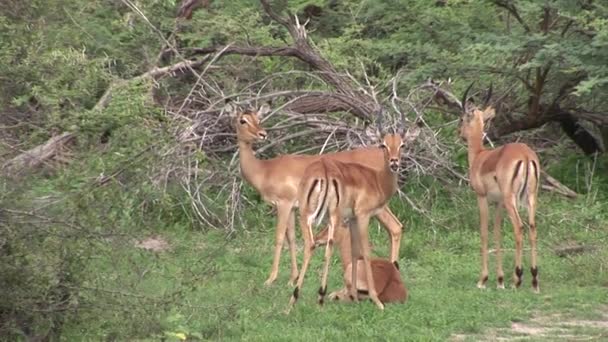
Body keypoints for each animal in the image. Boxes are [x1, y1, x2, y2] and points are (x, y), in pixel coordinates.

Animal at [228, 101, 404, 286]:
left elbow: (279, 237)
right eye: (243, 120)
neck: (265, 170)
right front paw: (293, 278)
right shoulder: (292, 208)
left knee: (395, 228)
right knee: (395, 228)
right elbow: (291, 238)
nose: (262, 134)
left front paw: (271, 279)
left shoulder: (284, 204)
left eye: (258, 118)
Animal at [290, 111, 418, 310]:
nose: (394, 162)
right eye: (383, 144)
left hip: (316, 213)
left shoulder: (356, 217)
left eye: (402, 144)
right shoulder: (359, 217)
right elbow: (361, 250)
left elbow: (359, 251)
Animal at [458, 84, 540, 292]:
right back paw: (534, 280)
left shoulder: (482, 198)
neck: (479, 157)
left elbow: (484, 233)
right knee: (532, 228)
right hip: (530, 198)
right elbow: (497, 234)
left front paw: (483, 280)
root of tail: (526, 156)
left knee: (519, 227)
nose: (459, 134)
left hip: (512, 200)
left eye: (462, 118)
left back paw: (518, 279)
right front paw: (500, 280)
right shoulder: (498, 203)